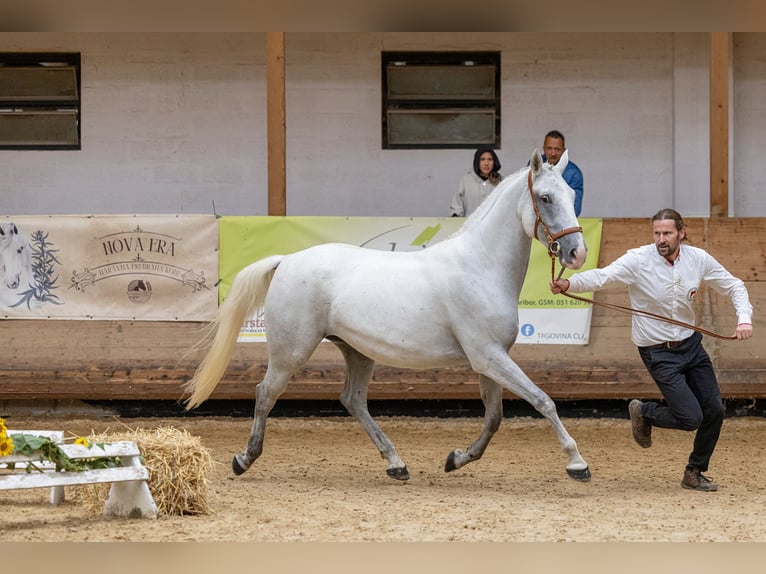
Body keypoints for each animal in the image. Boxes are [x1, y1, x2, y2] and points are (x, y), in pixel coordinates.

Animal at [186, 151, 592, 484]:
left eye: (572, 197)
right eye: (546, 198)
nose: (577, 253)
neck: (479, 266)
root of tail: (286, 261)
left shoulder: (491, 359)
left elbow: (494, 418)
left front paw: (456, 459)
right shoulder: (488, 356)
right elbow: (543, 400)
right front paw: (577, 463)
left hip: (356, 352)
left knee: (352, 400)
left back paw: (396, 463)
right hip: (291, 352)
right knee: (265, 393)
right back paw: (243, 459)